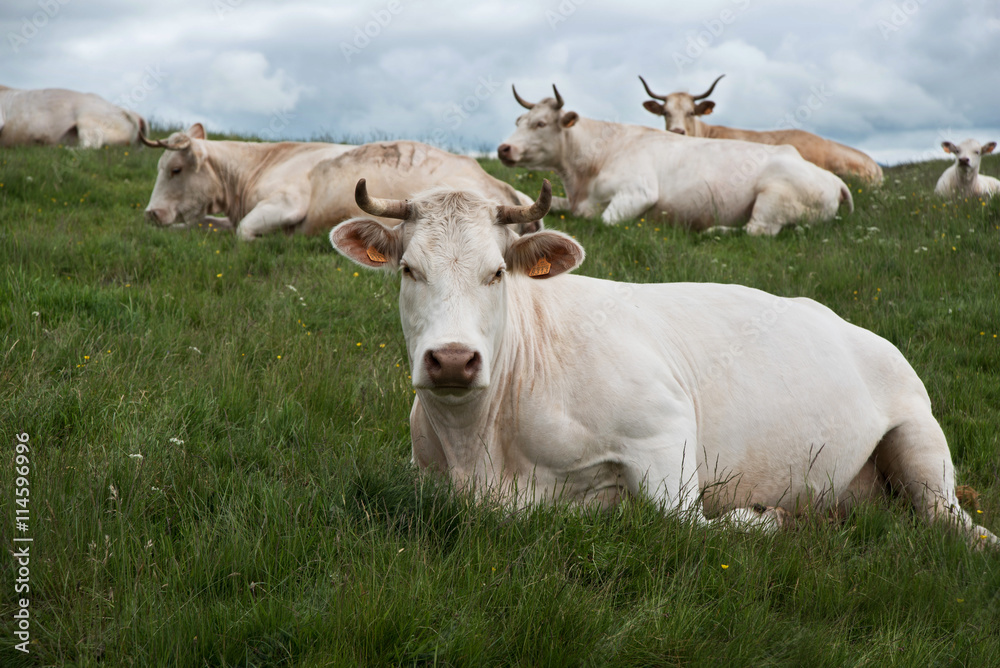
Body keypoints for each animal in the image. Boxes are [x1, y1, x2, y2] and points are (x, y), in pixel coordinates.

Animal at [329, 178, 997, 548]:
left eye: (496, 272)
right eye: (408, 269)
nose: (452, 360)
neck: (482, 449)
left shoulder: (664, 429)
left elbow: (683, 523)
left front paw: (768, 520)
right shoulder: (427, 477)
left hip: (918, 434)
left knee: (951, 522)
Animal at [497, 85, 853, 236]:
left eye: (541, 123)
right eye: (518, 120)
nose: (503, 148)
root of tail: (835, 181)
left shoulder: (638, 192)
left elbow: (603, 221)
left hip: (773, 198)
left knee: (757, 231)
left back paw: (711, 230)